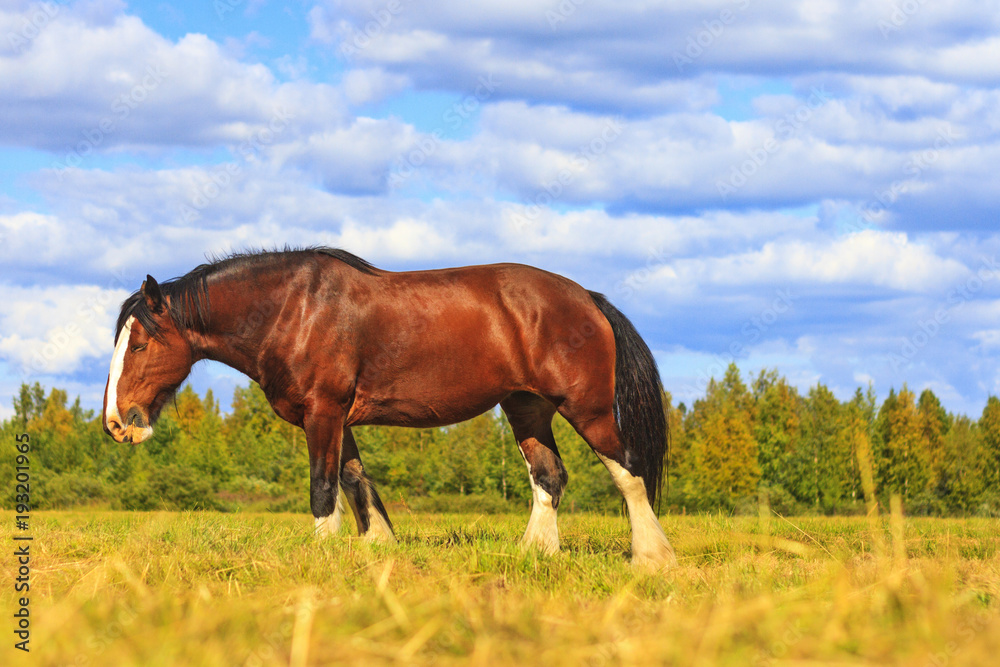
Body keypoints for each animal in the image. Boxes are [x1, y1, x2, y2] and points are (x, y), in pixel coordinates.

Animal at [103, 248, 680, 572]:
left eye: (140, 344)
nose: (116, 423)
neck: (294, 309)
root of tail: (586, 297)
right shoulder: (337, 418)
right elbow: (355, 480)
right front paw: (376, 547)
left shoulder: (324, 412)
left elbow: (323, 487)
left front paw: (325, 559)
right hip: (527, 409)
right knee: (549, 477)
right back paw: (535, 555)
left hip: (587, 408)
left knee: (628, 472)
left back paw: (652, 558)